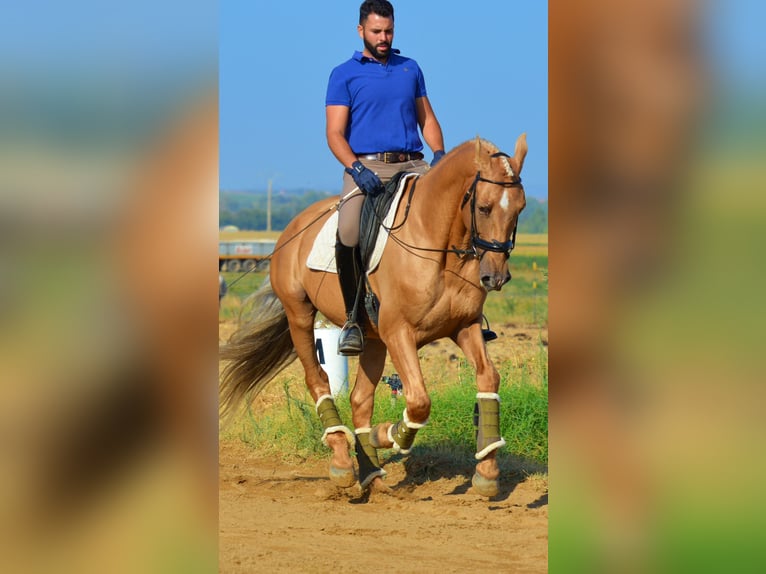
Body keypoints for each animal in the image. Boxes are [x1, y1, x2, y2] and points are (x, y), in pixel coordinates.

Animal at [222, 134, 528, 496]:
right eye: (484, 207)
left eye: (520, 208)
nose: (495, 277)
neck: (438, 246)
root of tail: (294, 226)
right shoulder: (399, 333)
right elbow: (419, 400)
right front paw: (390, 434)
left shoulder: (464, 327)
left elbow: (488, 379)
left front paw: (487, 471)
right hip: (300, 315)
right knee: (318, 379)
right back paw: (343, 462)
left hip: (373, 339)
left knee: (359, 399)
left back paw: (370, 472)